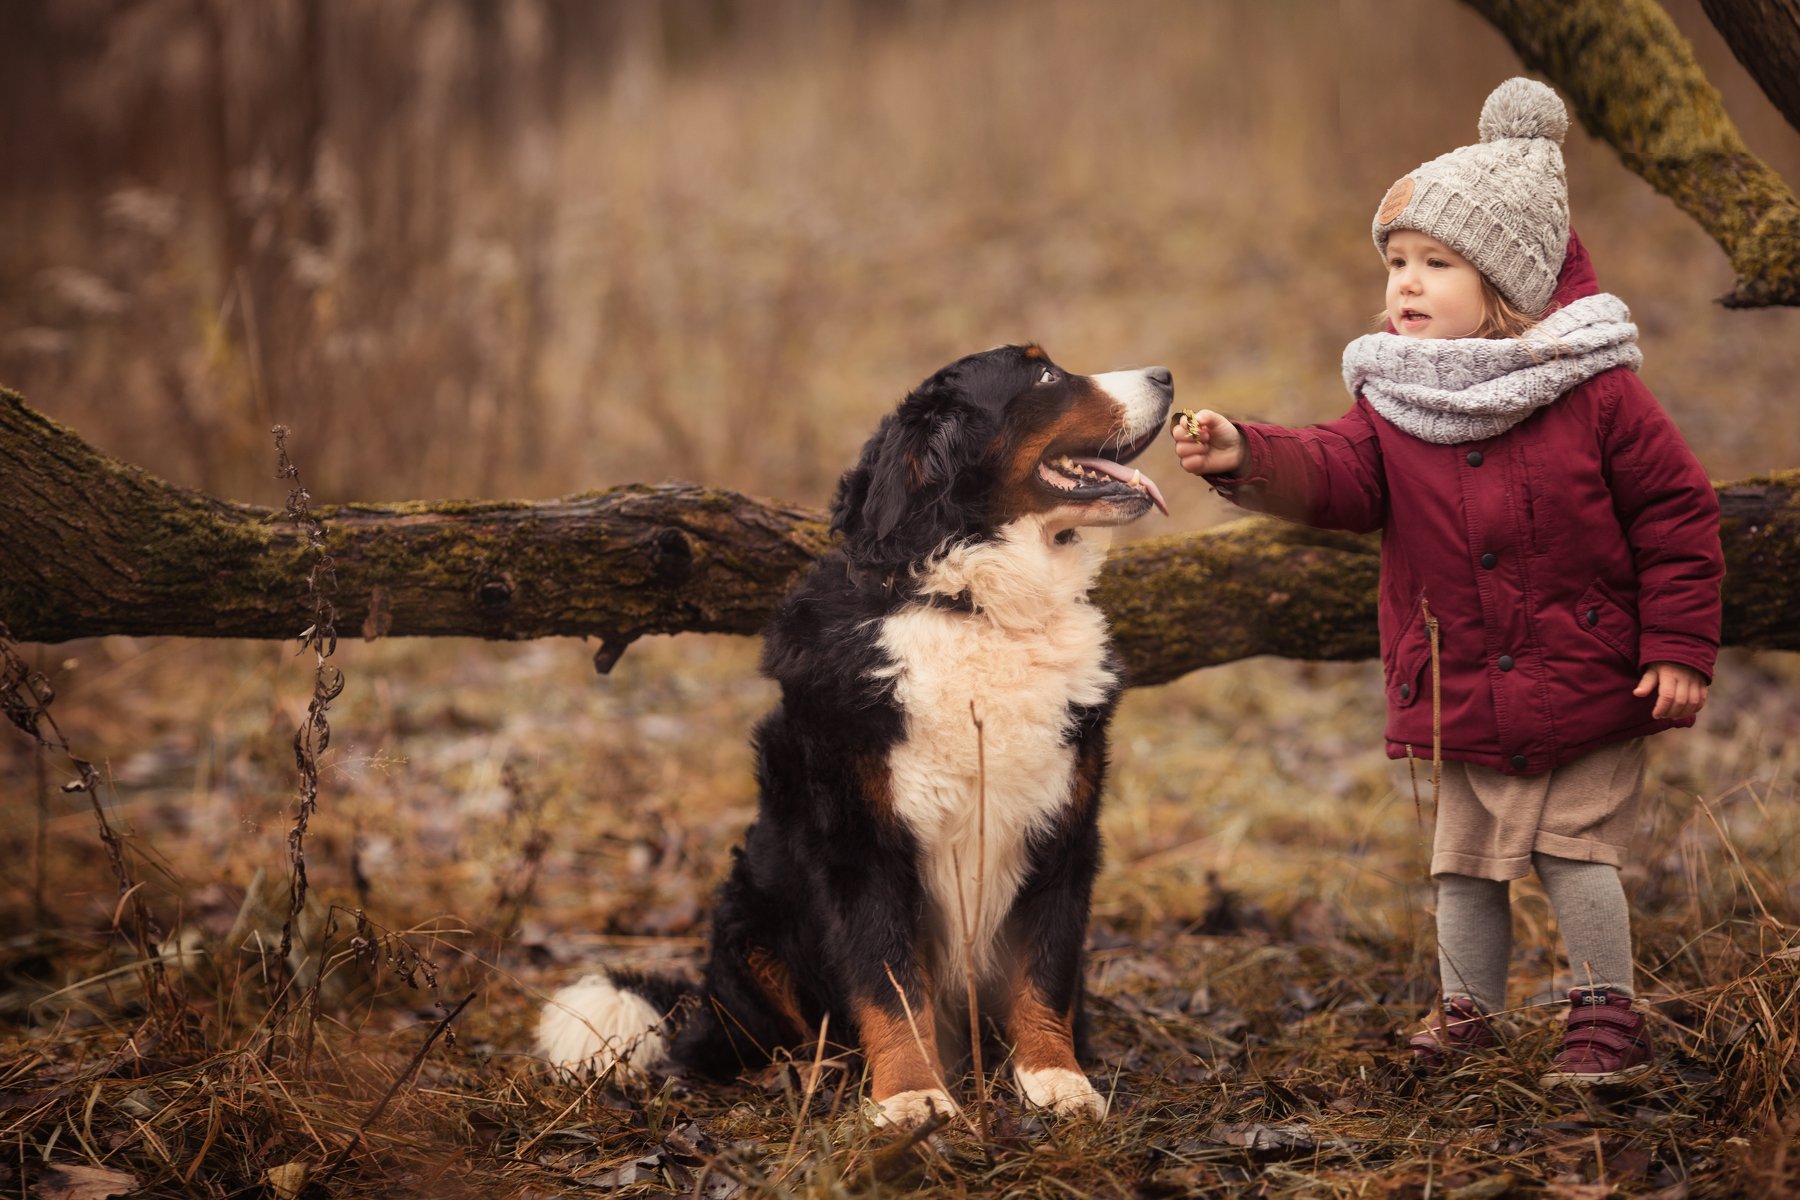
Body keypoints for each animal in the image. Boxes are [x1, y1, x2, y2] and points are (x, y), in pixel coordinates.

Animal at [532, 345, 1173, 1129]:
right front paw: (911, 1095)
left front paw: (1056, 1079)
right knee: (748, 1039)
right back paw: (812, 1072)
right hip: (752, 918)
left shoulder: (1062, 834)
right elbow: (889, 980)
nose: (1168, 377)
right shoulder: (861, 843)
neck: (972, 606)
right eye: (1045, 376)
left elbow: (1043, 971)